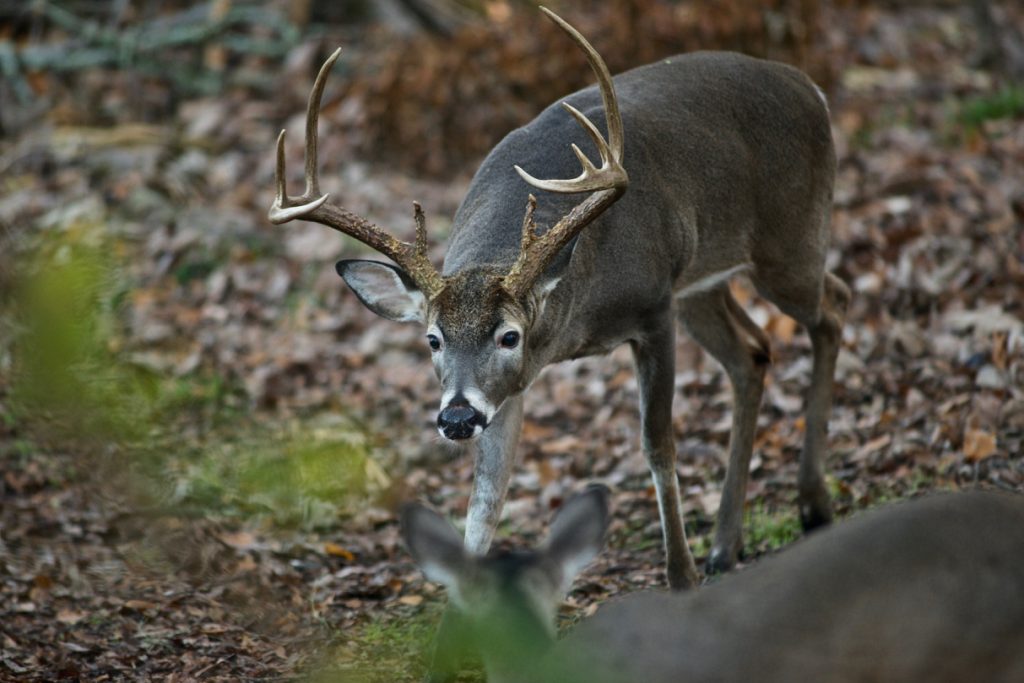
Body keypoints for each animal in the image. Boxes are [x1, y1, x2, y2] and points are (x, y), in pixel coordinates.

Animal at [270, 4, 847, 601]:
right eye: (432, 339)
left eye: (509, 335)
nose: (456, 418)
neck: (573, 323)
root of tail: (809, 87)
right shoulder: (509, 387)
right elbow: (486, 495)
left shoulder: (654, 309)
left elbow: (658, 446)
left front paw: (680, 578)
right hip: (704, 282)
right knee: (752, 353)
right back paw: (726, 546)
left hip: (788, 243)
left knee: (834, 307)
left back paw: (813, 506)